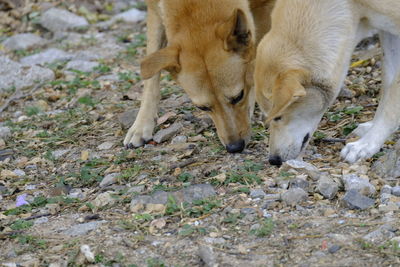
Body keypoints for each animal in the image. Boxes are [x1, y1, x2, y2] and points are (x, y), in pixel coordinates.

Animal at [124, 0, 276, 154]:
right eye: (202, 108)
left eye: (238, 97)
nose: (235, 147)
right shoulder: (154, 10)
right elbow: (151, 81)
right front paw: (141, 126)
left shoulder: (264, 7)